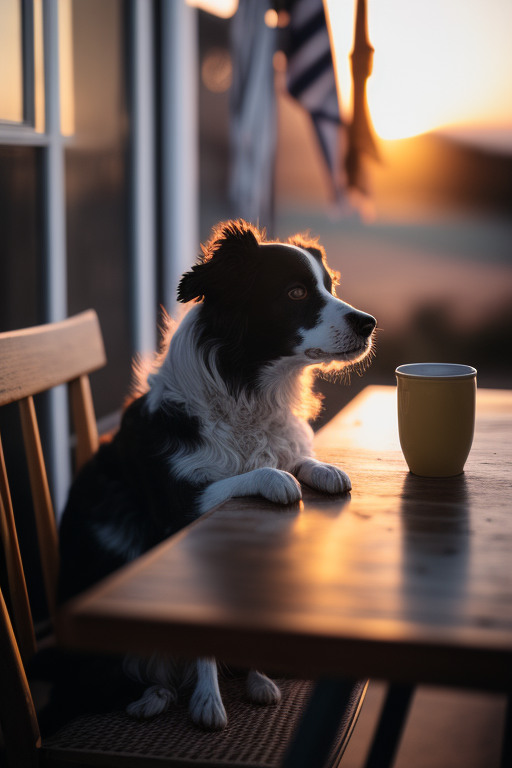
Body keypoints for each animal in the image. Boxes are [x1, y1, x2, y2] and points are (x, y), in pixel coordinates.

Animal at [58, 219, 376, 728]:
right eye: (295, 292)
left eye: (330, 287)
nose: (368, 323)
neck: (247, 388)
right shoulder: (178, 508)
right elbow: (252, 476)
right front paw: (207, 702)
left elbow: (294, 456)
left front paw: (322, 467)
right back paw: (154, 697)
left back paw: (255, 680)